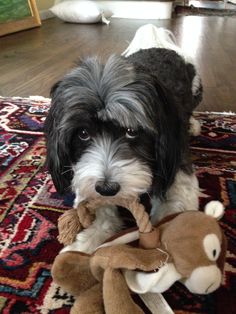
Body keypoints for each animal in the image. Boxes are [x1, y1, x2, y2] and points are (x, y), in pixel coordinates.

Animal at [44, 24, 203, 253]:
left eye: (131, 130)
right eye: (83, 134)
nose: (107, 188)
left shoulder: (177, 169)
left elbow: (173, 215)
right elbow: (102, 216)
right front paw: (82, 247)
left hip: (196, 86)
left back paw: (193, 125)